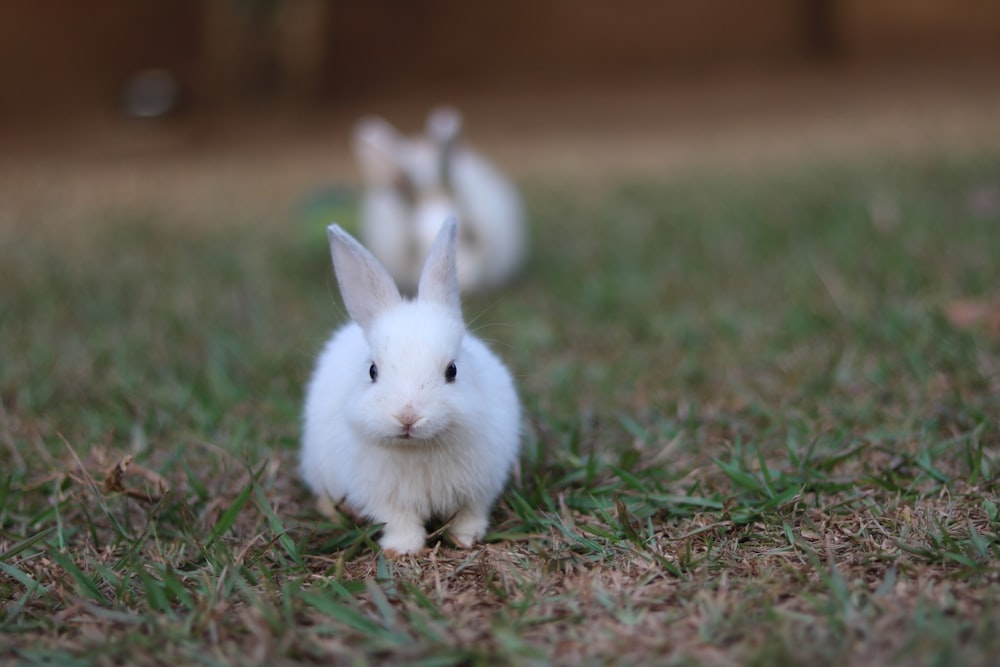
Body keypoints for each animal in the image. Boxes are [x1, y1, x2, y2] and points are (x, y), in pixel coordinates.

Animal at [298, 218, 524, 552]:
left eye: (452, 370)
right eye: (372, 371)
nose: (407, 416)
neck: (419, 446)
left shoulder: (479, 490)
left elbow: (470, 514)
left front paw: (465, 539)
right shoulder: (384, 499)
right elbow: (398, 520)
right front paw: (402, 549)